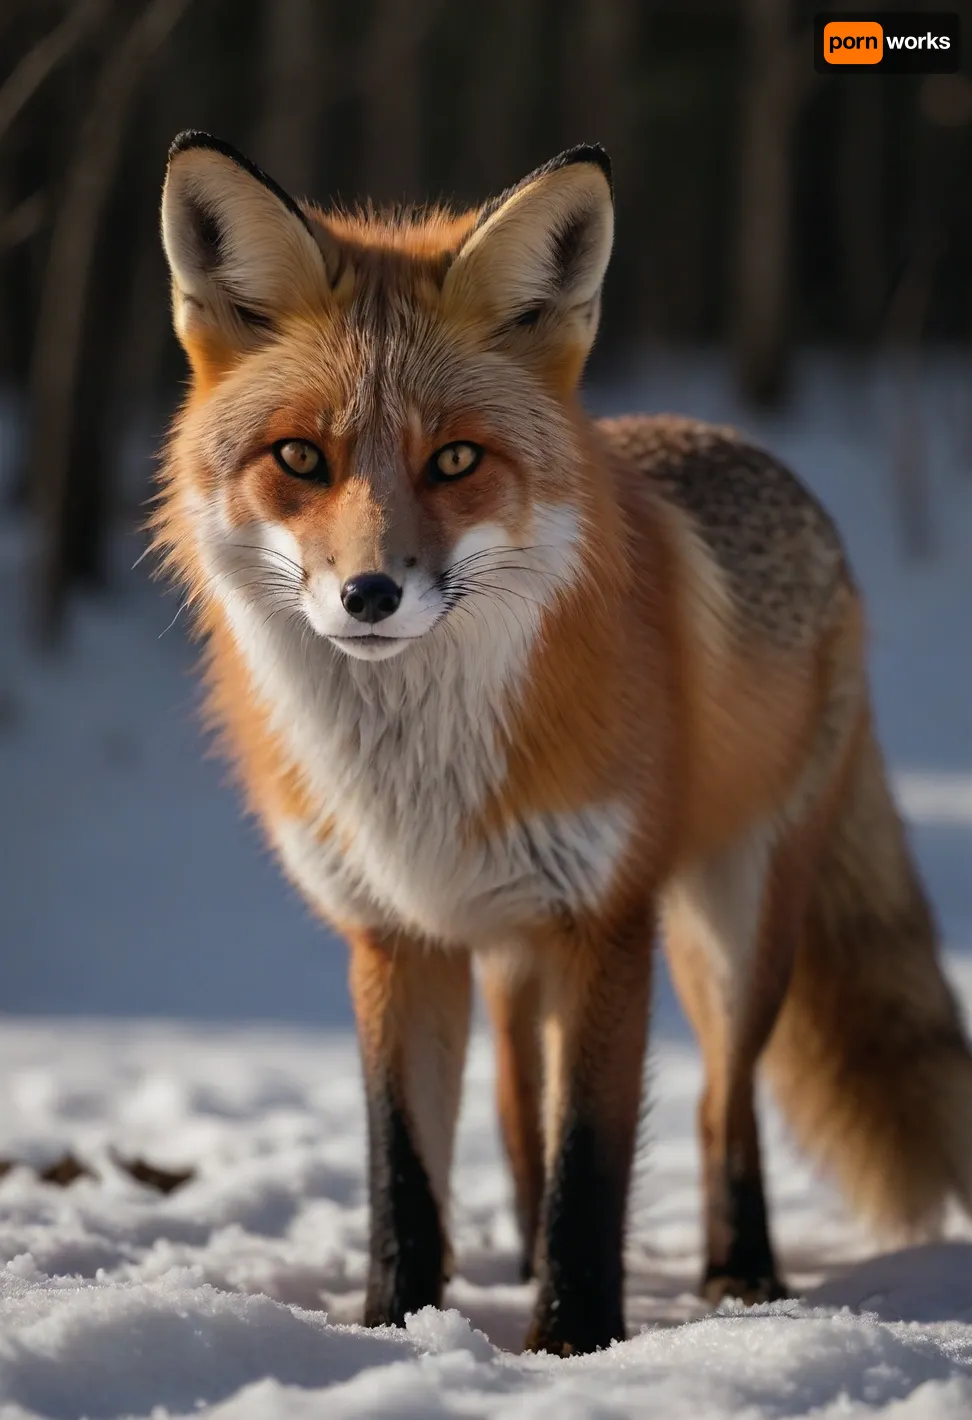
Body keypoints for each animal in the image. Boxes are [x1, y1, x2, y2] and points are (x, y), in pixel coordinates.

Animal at [155, 130, 972, 1357]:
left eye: (455, 461)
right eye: (299, 458)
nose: (369, 594)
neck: (416, 775)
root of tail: (753, 453)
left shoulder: (607, 921)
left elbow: (592, 1162)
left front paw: (573, 1341)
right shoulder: (395, 936)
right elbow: (405, 1173)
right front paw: (400, 1325)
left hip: (731, 928)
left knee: (719, 1103)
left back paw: (742, 1273)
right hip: (508, 961)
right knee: (518, 1119)